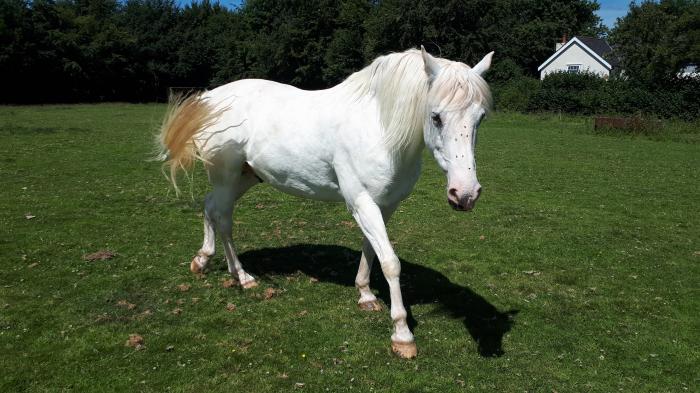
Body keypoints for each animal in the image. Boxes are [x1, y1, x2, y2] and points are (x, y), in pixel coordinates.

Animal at [161, 47, 494, 356]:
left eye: (480, 118)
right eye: (436, 117)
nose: (465, 194)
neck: (379, 128)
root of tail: (210, 99)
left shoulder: (384, 206)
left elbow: (370, 249)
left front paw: (365, 295)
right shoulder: (361, 202)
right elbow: (390, 263)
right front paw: (402, 335)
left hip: (245, 177)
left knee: (210, 208)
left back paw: (205, 261)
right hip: (226, 176)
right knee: (223, 217)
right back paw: (242, 276)